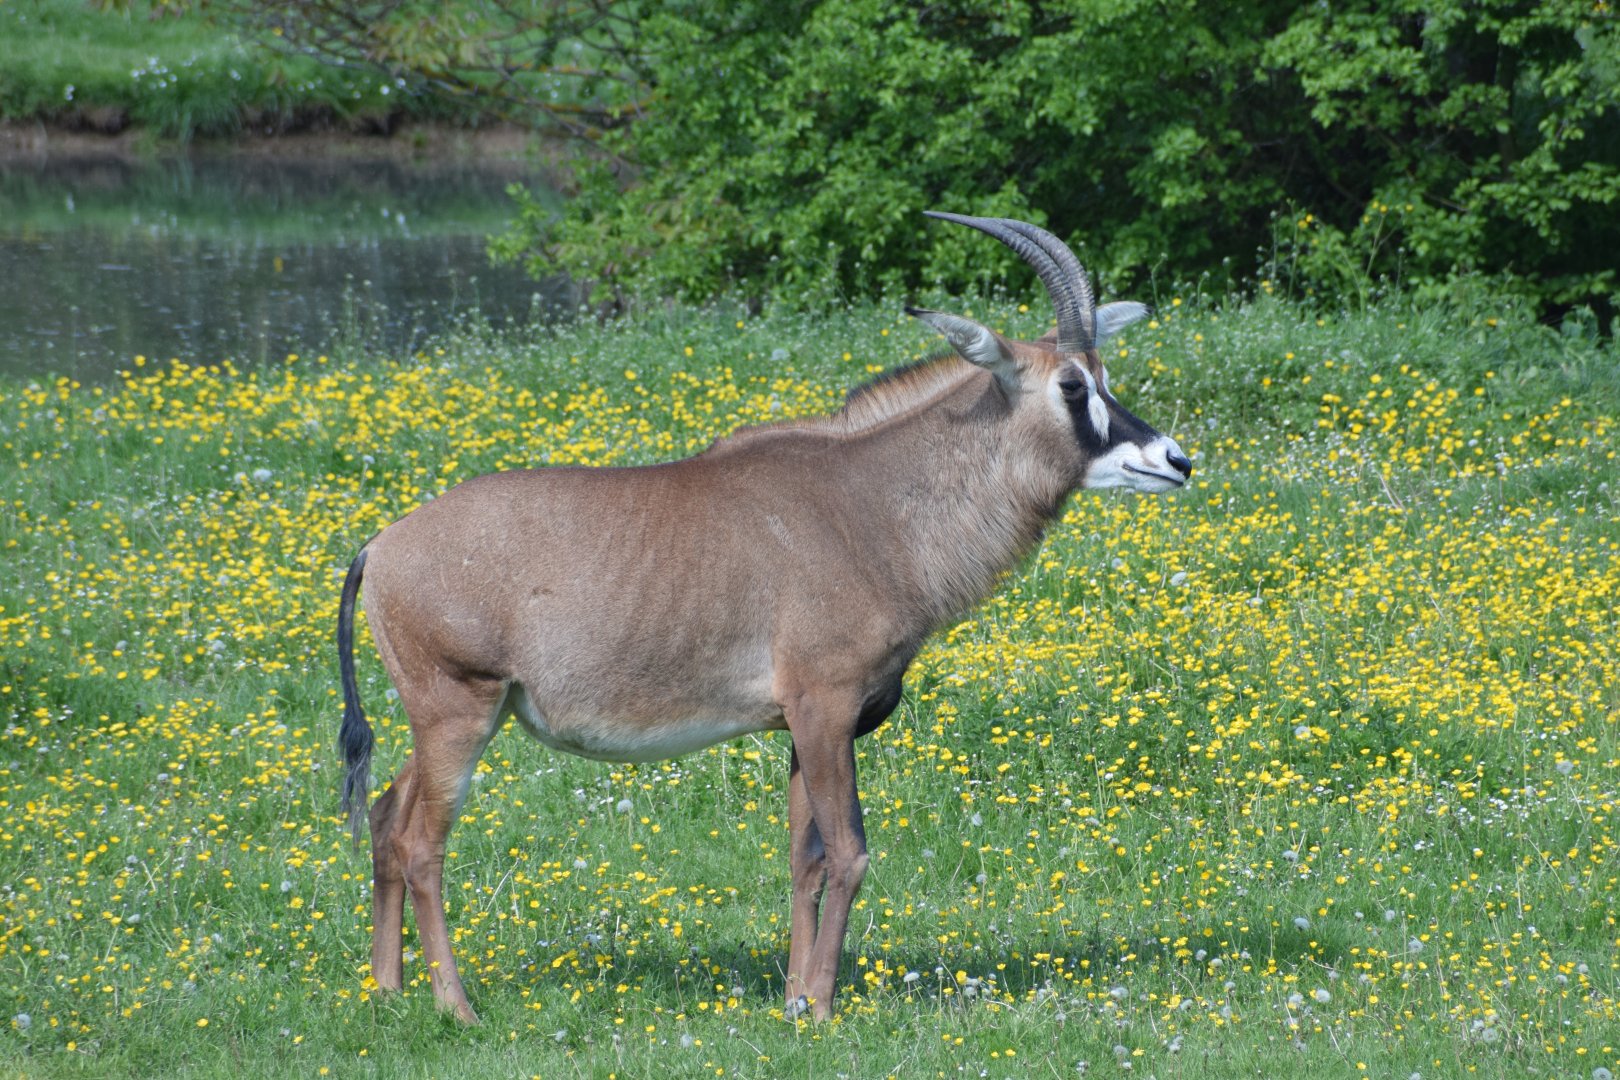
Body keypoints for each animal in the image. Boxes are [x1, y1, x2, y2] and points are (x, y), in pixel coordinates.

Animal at [336, 211, 1192, 1024]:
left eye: (1105, 375)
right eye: (1072, 387)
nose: (1175, 460)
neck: (870, 506)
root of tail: (381, 546)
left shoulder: (805, 728)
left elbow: (805, 859)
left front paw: (794, 999)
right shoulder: (825, 707)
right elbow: (849, 854)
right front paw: (822, 1008)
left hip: (453, 718)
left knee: (383, 814)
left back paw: (387, 991)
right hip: (460, 710)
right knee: (420, 842)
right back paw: (456, 1006)